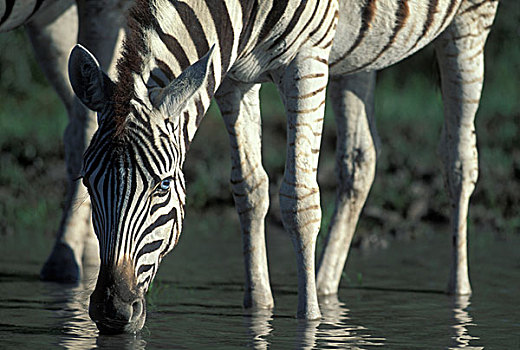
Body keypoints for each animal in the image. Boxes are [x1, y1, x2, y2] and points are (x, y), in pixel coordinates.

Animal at [67, 0, 498, 334]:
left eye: (162, 186)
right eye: (87, 184)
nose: (112, 310)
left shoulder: (307, 60)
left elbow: (299, 201)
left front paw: (310, 320)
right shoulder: (233, 79)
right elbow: (249, 189)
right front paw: (259, 307)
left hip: (470, 22)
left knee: (460, 161)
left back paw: (459, 292)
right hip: (360, 55)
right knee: (360, 160)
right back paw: (325, 284)